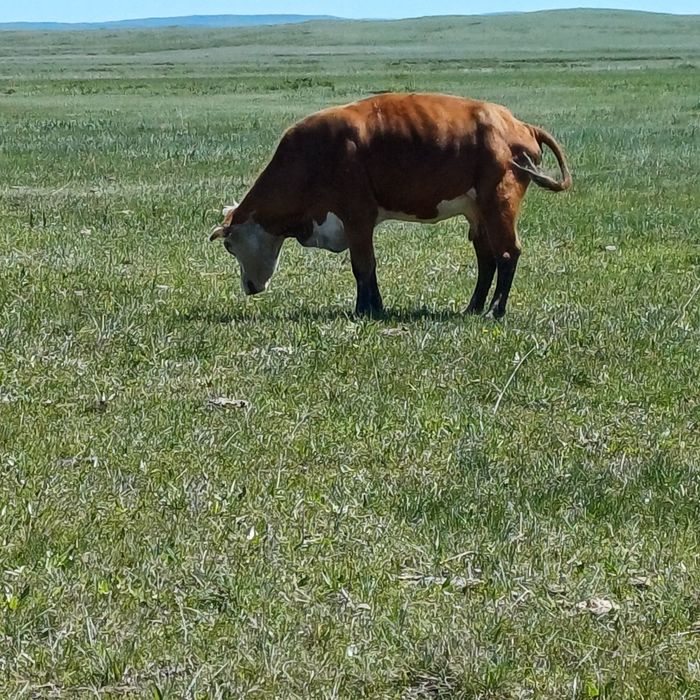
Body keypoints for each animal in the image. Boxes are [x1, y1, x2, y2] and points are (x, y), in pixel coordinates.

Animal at [210, 92, 571, 318]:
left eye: (229, 245)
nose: (248, 287)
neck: (311, 155)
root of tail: (518, 124)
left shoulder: (357, 218)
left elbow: (363, 266)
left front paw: (365, 310)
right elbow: (367, 268)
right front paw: (374, 307)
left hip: (498, 203)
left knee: (507, 253)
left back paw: (495, 310)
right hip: (477, 213)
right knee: (488, 258)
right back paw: (473, 308)